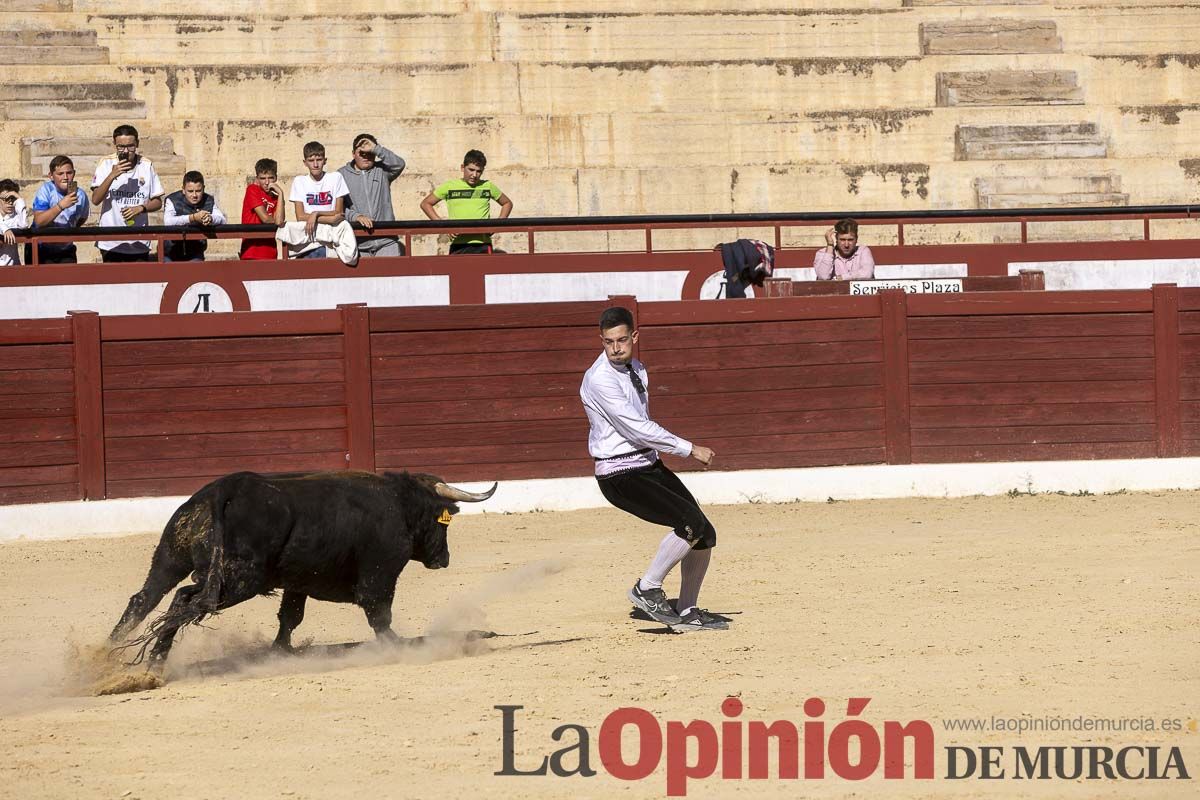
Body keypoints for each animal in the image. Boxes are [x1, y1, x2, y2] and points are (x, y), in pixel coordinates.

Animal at [106, 470, 492, 662]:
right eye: (443, 522)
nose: (444, 560)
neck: (400, 502)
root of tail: (222, 491)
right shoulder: (380, 573)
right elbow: (379, 615)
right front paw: (398, 646)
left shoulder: (299, 581)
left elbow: (290, 616)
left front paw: (281, 651)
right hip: (241, 579)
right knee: (186, 600)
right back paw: (150, 657)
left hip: (169, 558)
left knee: (145, 599)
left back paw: (115, 655)